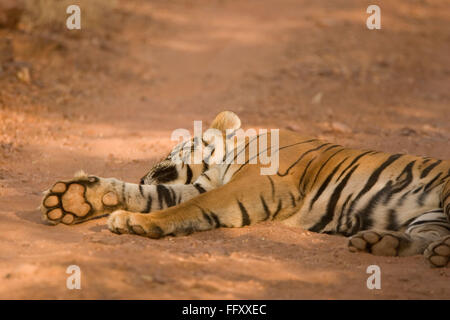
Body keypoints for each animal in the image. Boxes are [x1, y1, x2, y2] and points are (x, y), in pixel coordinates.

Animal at [39, 111, 450, 266]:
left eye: (167, 150)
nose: (143, 172)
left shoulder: (259, 183)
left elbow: (184, 208)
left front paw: (138, 223)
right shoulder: (194, 186)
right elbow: (151, 197)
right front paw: (73, 199)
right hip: (427, 219)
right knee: (426, 239)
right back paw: (379, 243)